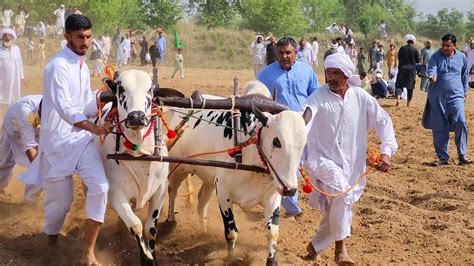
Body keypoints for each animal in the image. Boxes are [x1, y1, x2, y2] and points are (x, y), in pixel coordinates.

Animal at [96, 69, 168, 264]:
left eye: (150, 89)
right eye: (121, 88)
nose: (136, 117)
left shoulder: (160, 190)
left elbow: (150, 229)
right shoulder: (116, 194)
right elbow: (135, 225)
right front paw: (147, 259)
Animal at [164, 81, 308, 266]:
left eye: (303, 143)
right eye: (277, 141)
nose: (290, 189)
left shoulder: (273, 195)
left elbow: (272, 232)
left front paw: (272, 260)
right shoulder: (223, 194)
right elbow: (231, 232)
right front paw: (232, 258)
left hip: (209, 180)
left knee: (201, 202)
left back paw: (203, 230)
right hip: (178, 168)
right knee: (172, 191)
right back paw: (170, 221)